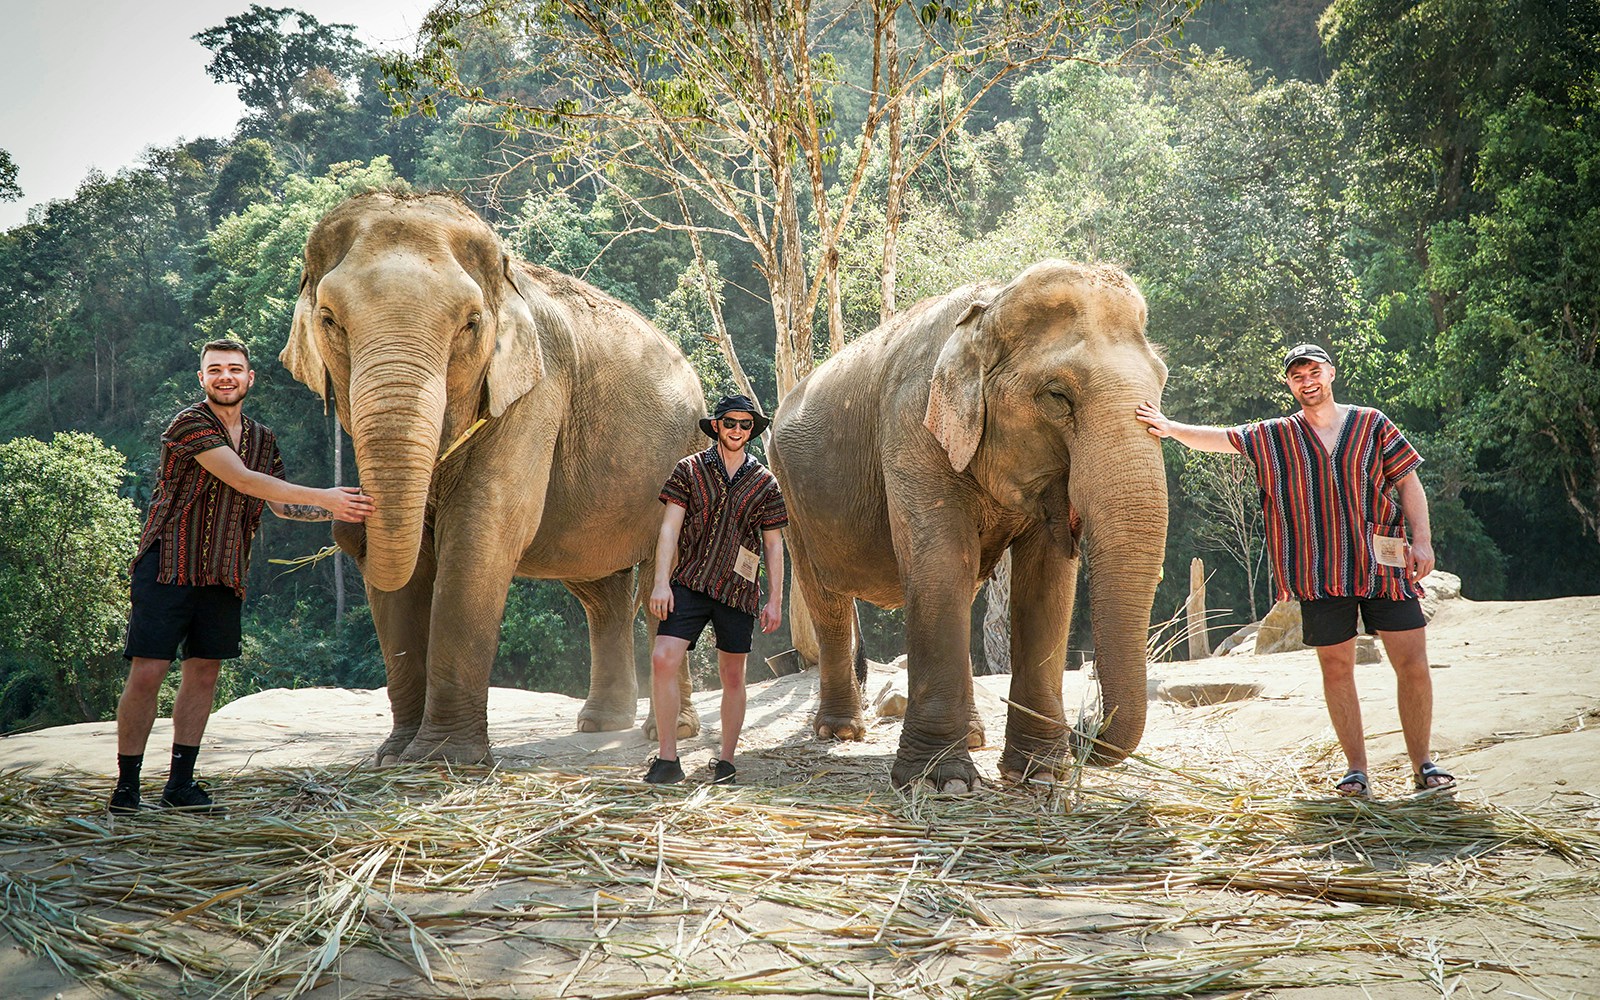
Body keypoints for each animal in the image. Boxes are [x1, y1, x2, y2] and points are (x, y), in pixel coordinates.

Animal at [281, 191, 704, 764]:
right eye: (328, 319)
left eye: (471, 323)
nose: (347, 527)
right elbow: (411, 565)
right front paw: (394, 756)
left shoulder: (536, 394)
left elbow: (481, 533)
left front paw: (442, 759)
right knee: (600, 591)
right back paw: (600, 725)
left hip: (687, 455)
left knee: (663, 578)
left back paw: (669, 731)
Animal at [770, 260, 1168, 791]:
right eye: (1057, 396)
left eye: (1161, 384)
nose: (1085, 726)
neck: (990, 307)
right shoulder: (911, 426)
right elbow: (941, 564)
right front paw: (941, 781)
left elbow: (1046, 582)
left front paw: (1040, 773)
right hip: (791, 495)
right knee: (826, 599)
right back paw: (841, 733)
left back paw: (976, 737)